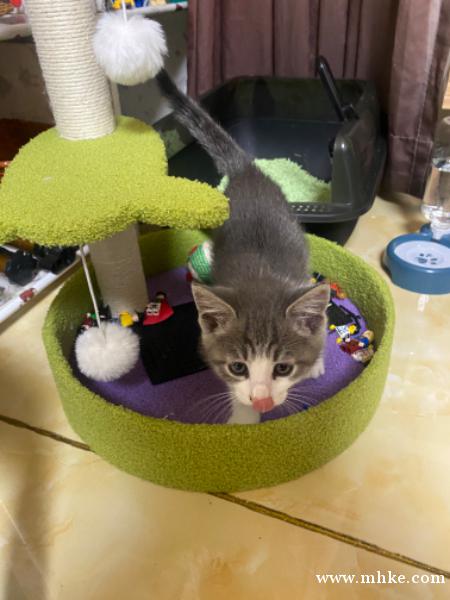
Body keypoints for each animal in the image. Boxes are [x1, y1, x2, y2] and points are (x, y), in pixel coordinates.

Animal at [156, 70, 330, 424]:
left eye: (283, 368)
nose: (262, 400)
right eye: (238, 367)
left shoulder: (298, 281)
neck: (261, 278)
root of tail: (247, 171)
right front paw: (244, 418)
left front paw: (316, 361)